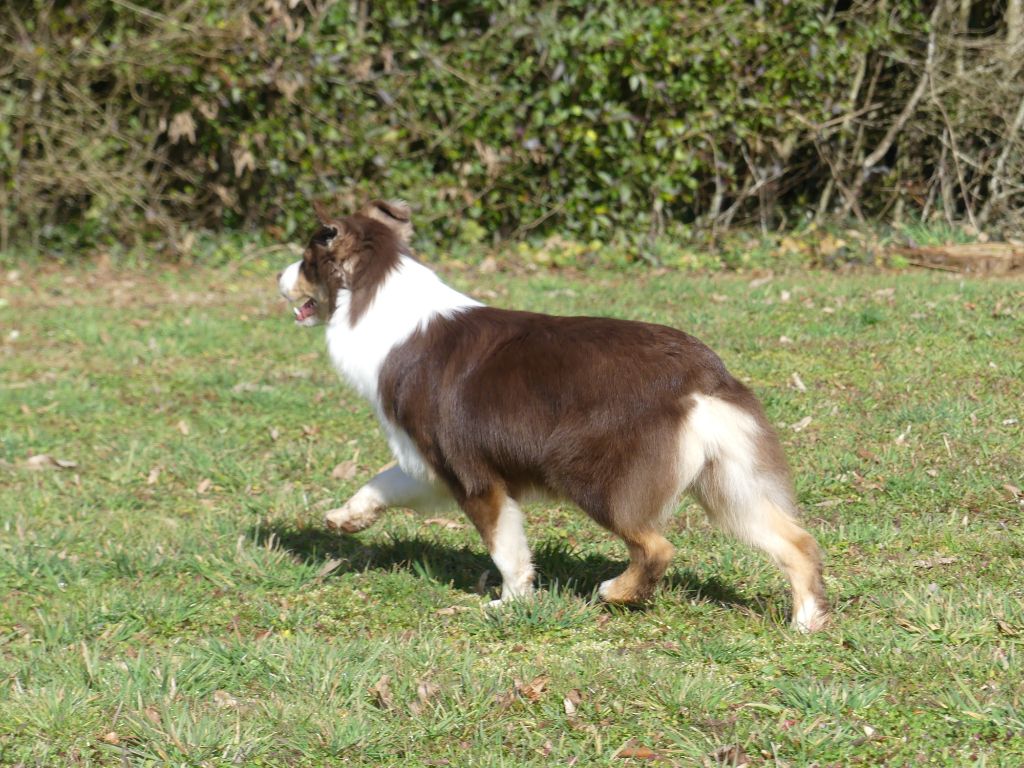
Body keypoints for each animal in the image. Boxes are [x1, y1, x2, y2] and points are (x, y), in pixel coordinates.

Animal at [280, 201, 831, 634]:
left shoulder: (470, 472)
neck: (377, 297)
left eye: (306, 259)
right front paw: (346, 517)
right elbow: (382, 482)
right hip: (727, 480)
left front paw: (510, 603)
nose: (278, 278)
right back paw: (807, 620)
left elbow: (505, 548)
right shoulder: (429, 460)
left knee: (656, 546)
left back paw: (616, 592)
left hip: (590, 472)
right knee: (796, 539)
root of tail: (700, 373)